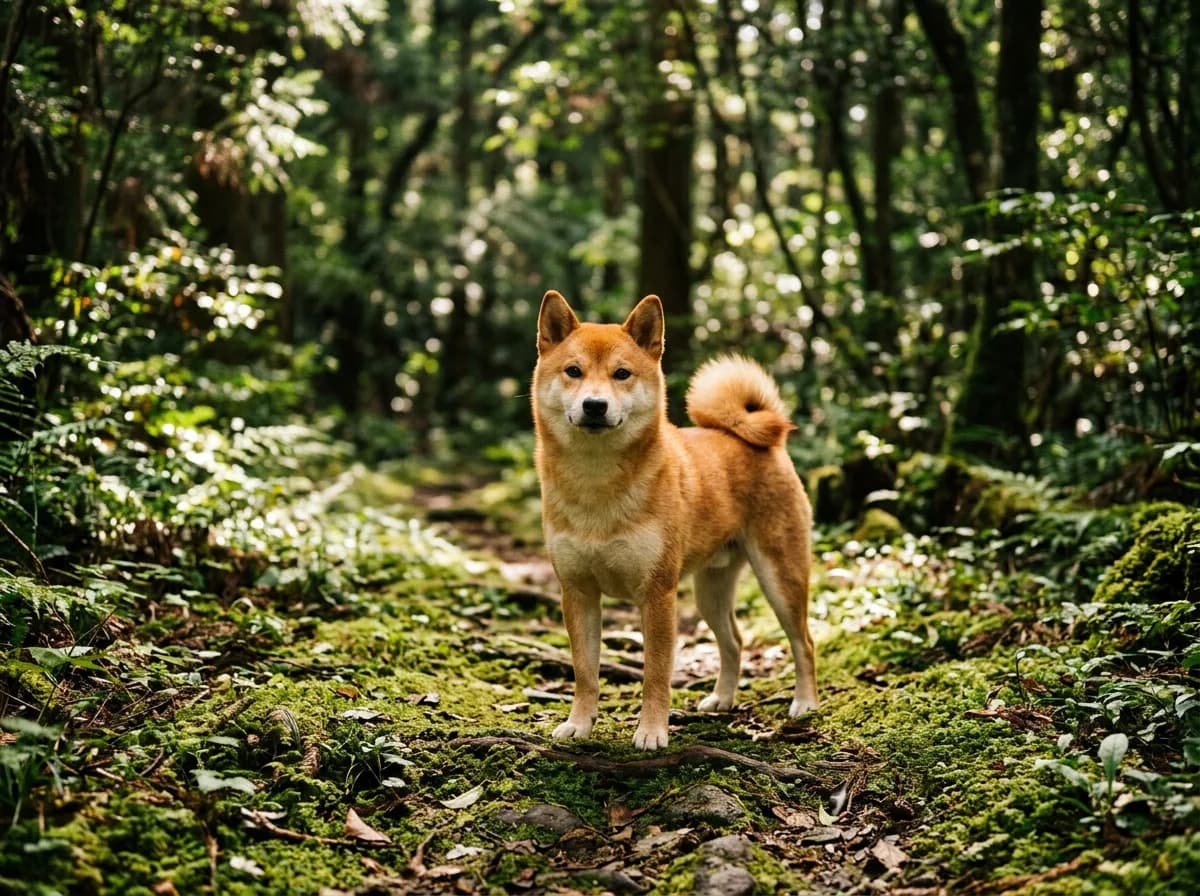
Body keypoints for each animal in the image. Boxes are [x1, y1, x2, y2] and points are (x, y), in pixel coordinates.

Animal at [531, 290, 817, 750]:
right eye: (573, 371)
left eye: (622, 374)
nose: (595, 405)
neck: (597, 483)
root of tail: (758, 440)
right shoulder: (577, 592)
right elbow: (585, 672)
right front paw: (579, 725)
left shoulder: (657, 594)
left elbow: (656, 673)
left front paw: (651, 731)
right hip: (710, 591)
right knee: (734, 640)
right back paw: (722, 699)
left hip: (781, 578)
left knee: (803, 641)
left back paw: (805, 703)